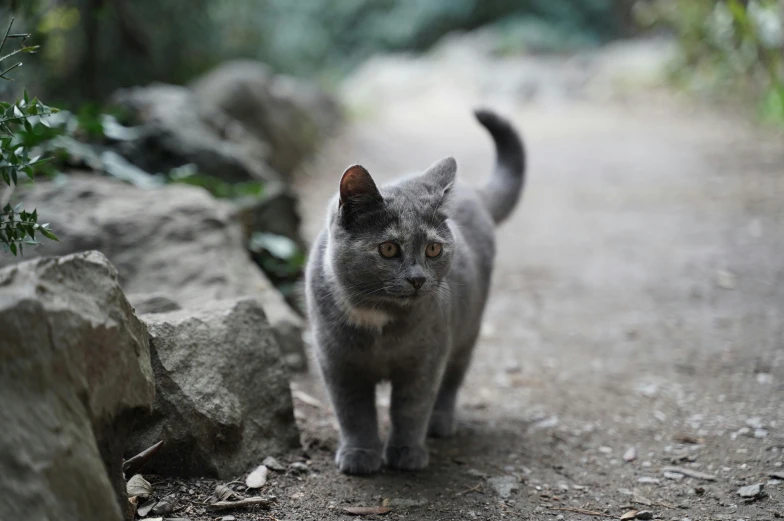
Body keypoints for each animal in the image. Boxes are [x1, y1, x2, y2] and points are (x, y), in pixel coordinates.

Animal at [306, 108, 528, 472]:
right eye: (389, 249)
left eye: (433, 250)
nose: (418, 278)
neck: (379, 318)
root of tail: (472, 191)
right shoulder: (337, 362)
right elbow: (353, 413)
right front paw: (360, 454)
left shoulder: (426, 360)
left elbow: (411, 409)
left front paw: (406, 452)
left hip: (466, 332)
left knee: (451, 381)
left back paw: (440, 423)